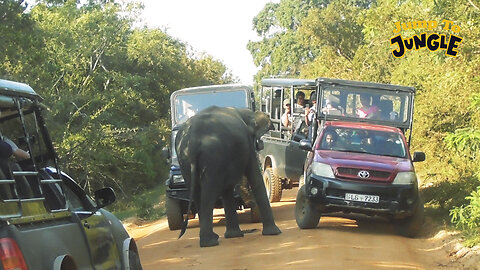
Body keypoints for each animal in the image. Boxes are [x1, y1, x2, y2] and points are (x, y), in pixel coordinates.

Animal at [175, 105, 282, 247]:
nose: (251, 203)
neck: (243, 112)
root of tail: (192, 141)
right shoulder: (247, 144)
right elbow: (255, 176)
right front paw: (275, 232)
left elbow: (227, 188)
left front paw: (233, 235)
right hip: (212, 154)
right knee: (208, 192)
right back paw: (209, 242)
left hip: (185, 161)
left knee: (198, 193)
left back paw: (211, 239)